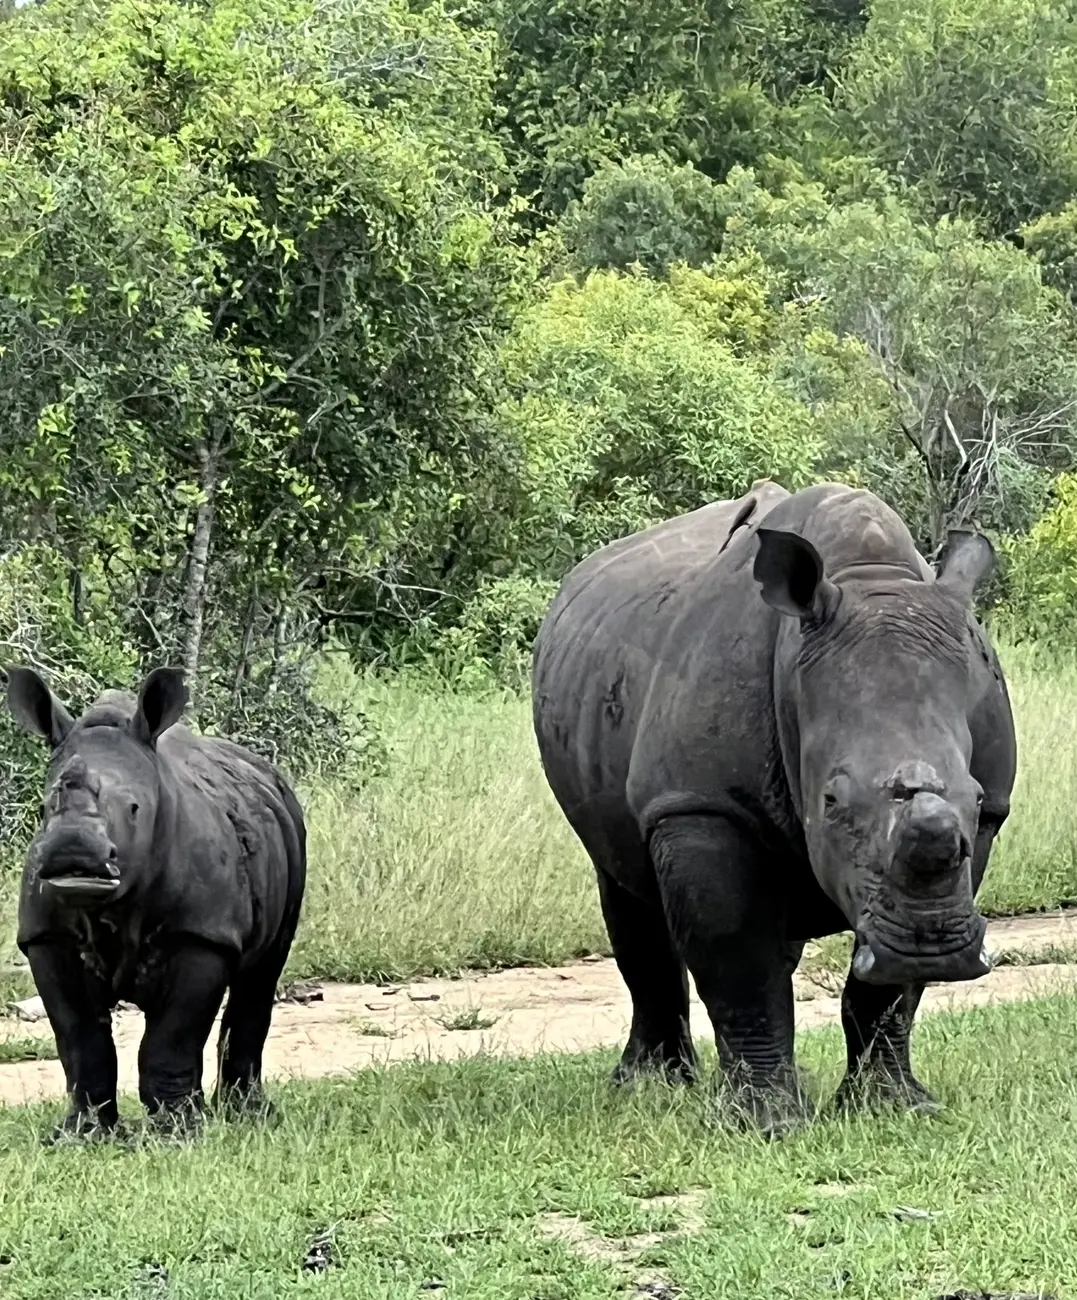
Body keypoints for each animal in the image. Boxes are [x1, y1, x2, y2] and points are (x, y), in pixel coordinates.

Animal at [5, 665, 306, 1137]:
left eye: (134, 809)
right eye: (43, 808)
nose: (74, 852)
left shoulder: (201, 934)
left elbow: (173, 1034)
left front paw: (180, 1131)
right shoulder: (46, 938)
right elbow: (78, 1036)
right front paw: (81, 1134)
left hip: (290, 831)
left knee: (262, 974)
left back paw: (250, 1116)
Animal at [531, 482, 1017, 1131]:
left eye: (977, 796)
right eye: (831, 801)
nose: (931, 946)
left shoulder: (983, 826)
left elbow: (887, 991)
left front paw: (897, 1108)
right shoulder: (701, 806)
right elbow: (739, 960)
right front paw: (767, 1125)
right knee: (624, 890)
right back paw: (648, 1088)